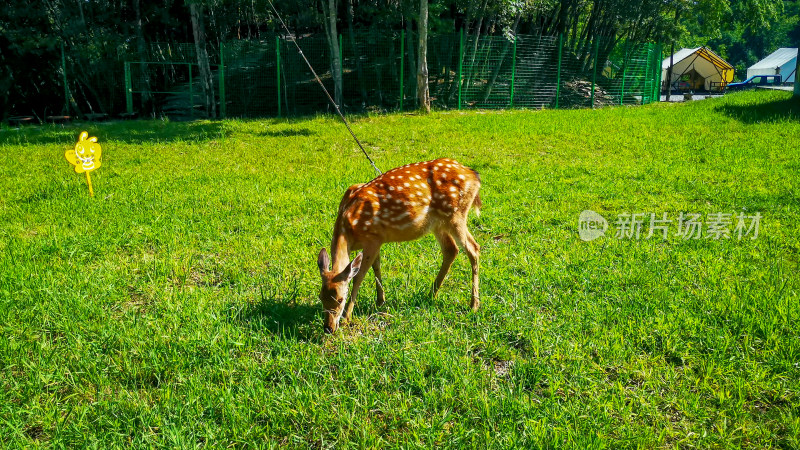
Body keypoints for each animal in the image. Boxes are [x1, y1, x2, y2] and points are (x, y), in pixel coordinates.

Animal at [318, 159, 482, 334]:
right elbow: (376, 267)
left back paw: (474, 305)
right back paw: (431, 293)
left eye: (340, 299)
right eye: (320, 297)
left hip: (456, 214)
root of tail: (474, 175)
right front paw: (380, 300)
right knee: (451, 250)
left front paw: (347, 318)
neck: (349, 228)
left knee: (473, 248)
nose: (328, 328)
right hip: (439, 224)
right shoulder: (377, 239)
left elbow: (359, 276)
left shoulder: (373, 239)